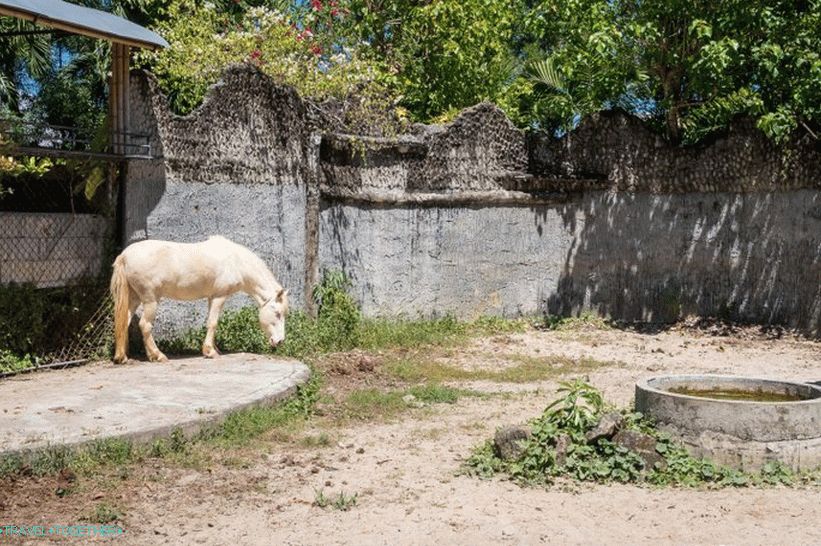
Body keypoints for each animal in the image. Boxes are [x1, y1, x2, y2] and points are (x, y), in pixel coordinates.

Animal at [109, 234, 288, 362]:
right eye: (277, 313)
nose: (280, 341)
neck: (236, 262)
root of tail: (124, 255)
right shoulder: (219, 297)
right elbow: (213, 323)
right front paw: (210, 351)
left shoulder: (211, 297)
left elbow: (210, 323)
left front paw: (213, 348)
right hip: (150, 300)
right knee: (145, 325)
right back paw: (158, 355)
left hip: (134, 299)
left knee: (123, 323)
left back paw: (122, 357)